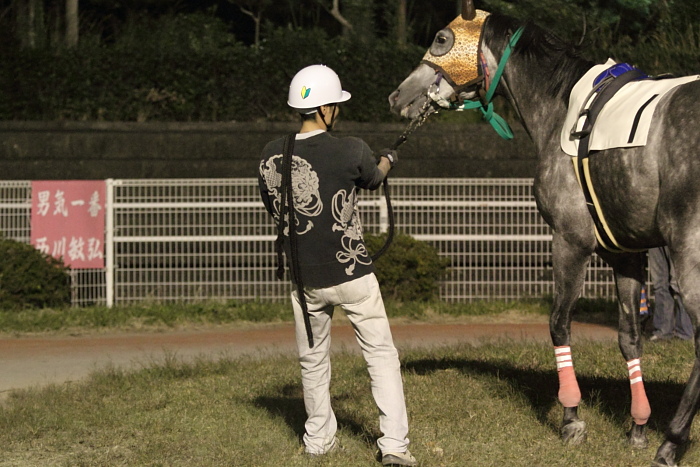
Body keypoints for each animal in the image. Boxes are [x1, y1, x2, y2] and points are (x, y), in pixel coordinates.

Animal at [392, 3, 700, 467]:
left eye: (441, 39)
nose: (398, 97)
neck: (565, 108)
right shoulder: (626, 253)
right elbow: (629, 338)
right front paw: (638, 426)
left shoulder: (570, 239)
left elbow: (558, 323)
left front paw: (572, 418)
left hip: (688, 255)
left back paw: (672, 442)